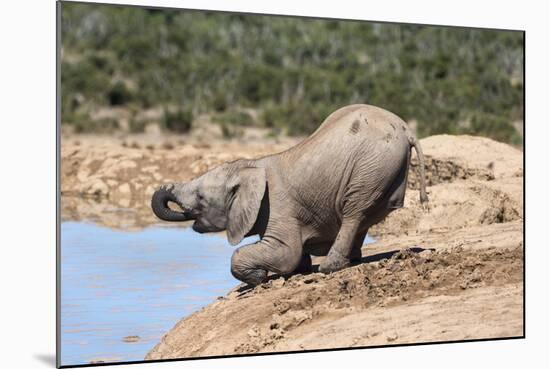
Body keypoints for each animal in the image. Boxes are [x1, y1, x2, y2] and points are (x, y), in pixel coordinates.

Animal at [152, 103, 432, 284]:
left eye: (201, 198)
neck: (248, 166)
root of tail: (405, 128)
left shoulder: (277, 207)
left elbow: (286, 252)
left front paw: (259, 277)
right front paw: (298, 270)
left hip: (371, 165)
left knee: (355, 211)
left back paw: (330, 267)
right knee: (363, 215)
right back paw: (351, 259)